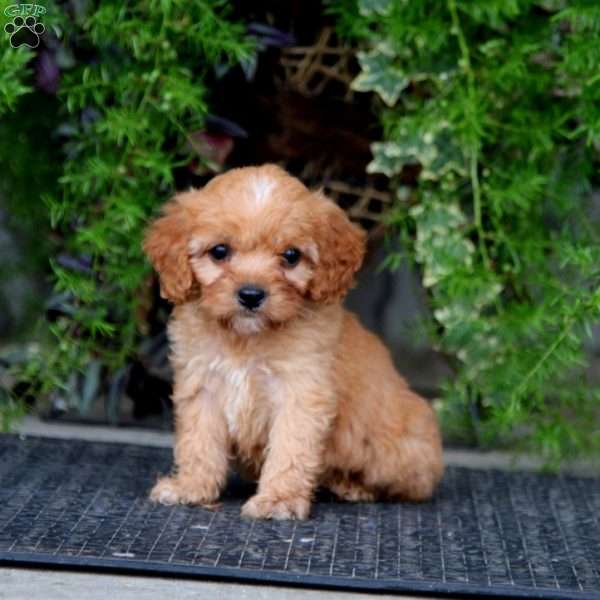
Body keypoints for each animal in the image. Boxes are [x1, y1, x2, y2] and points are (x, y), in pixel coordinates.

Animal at [144, 165, 442, 520]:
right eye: (219, 252)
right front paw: (190, 487)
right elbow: (198, 441)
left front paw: (279, 499)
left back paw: (355, 487)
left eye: (290, 256)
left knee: (414, 483)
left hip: (394, 449)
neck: (247, 338)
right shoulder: (202, 384)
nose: (251, 294)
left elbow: (290, 447)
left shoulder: (301, 391)